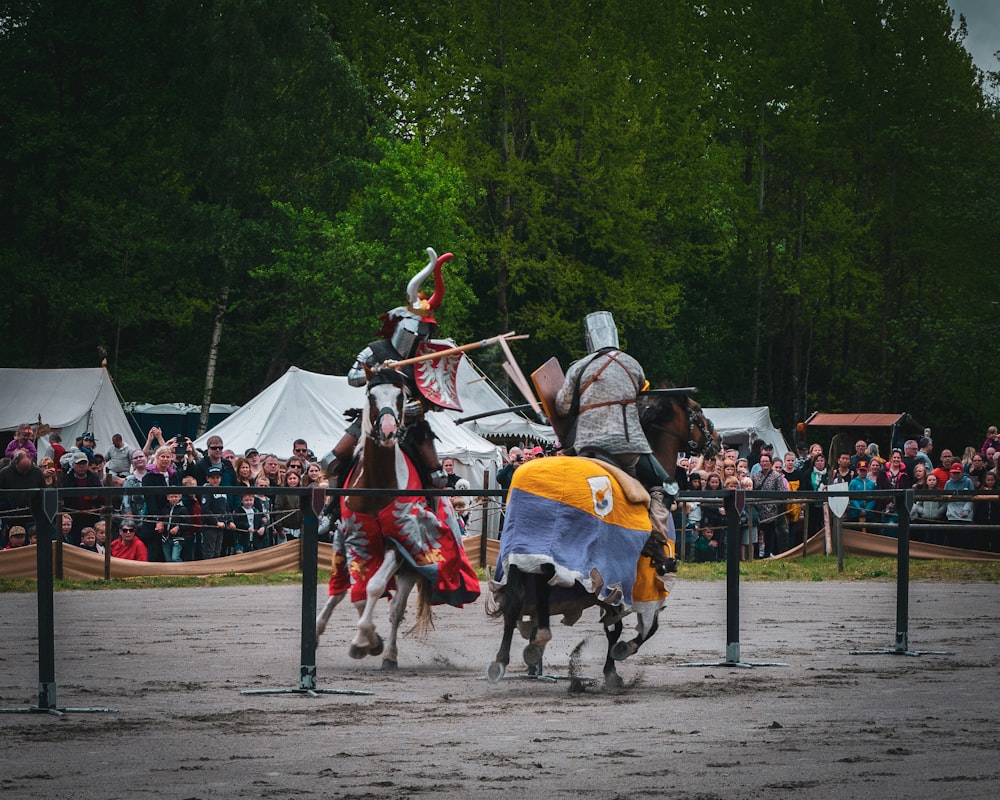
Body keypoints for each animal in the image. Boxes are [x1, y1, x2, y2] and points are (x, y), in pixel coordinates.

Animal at [486, 392, 716, 688]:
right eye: (697, 412)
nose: (717, 441)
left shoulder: (608, 583)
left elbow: (616, 626)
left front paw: (611, 668)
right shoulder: (625, 578)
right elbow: (639, 626)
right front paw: (619, 657)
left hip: (520, 556)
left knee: (516, 600)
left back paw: (502, 661)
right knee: (540, 590)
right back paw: (537, 642)